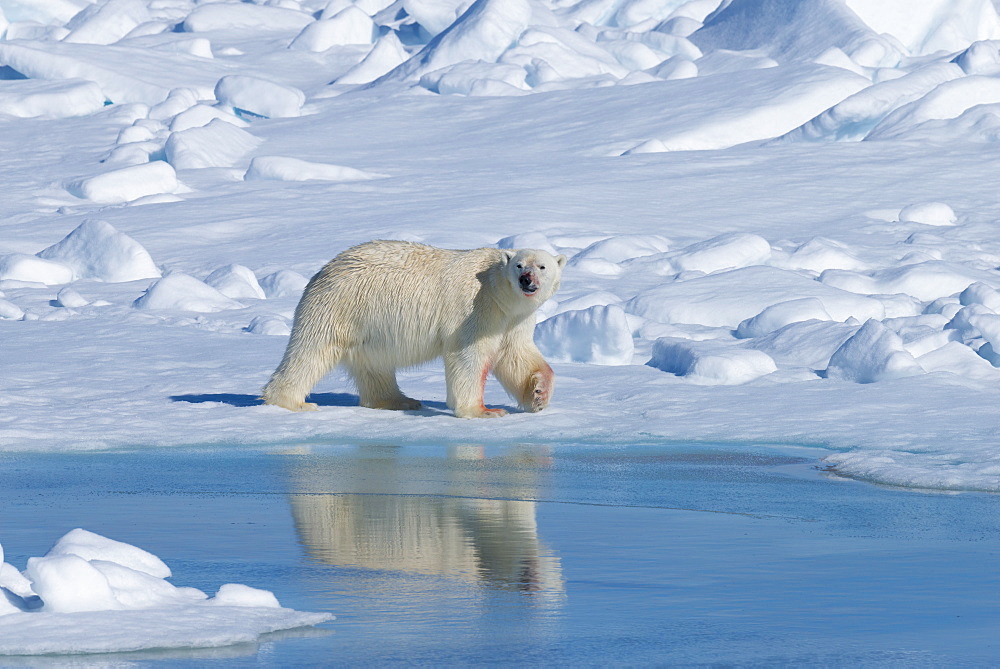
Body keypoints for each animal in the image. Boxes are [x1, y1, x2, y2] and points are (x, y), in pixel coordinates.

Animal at [262, 240, 568, 418]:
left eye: (542, 266)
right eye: (519, 265)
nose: (526, 279)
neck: (497, 292)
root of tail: (324, 270)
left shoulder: (514, 318)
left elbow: (516, 355)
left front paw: (539, 395)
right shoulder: (476, 309)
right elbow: (469, 356)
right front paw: (483, 411)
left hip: (368, 324)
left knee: (375, 363)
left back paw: (400, 400)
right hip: (340, 306)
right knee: (311, 351)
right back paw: (293, 402)